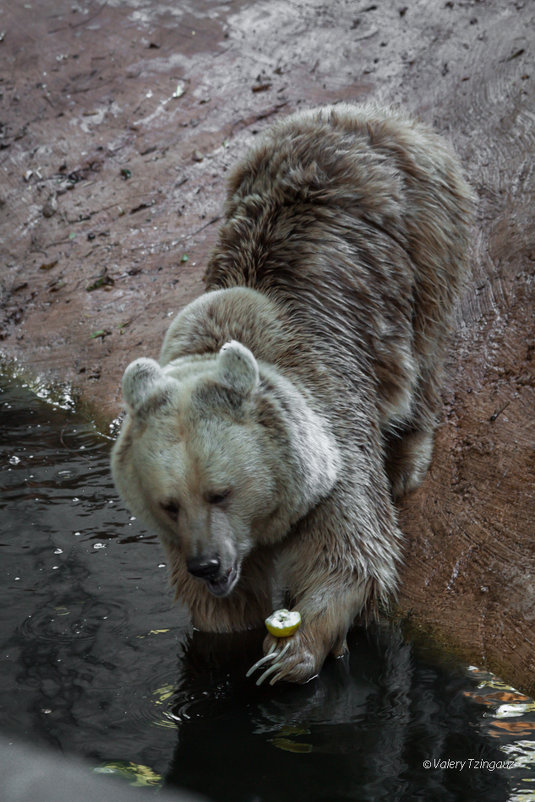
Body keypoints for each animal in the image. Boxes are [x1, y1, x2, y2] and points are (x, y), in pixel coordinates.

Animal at [111, 103, 476, 684]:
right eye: (168, 504)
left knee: (424, 349)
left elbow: (352, 553)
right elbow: (223, 610)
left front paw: (289, 653)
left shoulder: (332, 440)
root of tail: (357, 113)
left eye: (220, 492)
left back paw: (406, 457)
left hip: (423, 235)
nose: (207, 563)